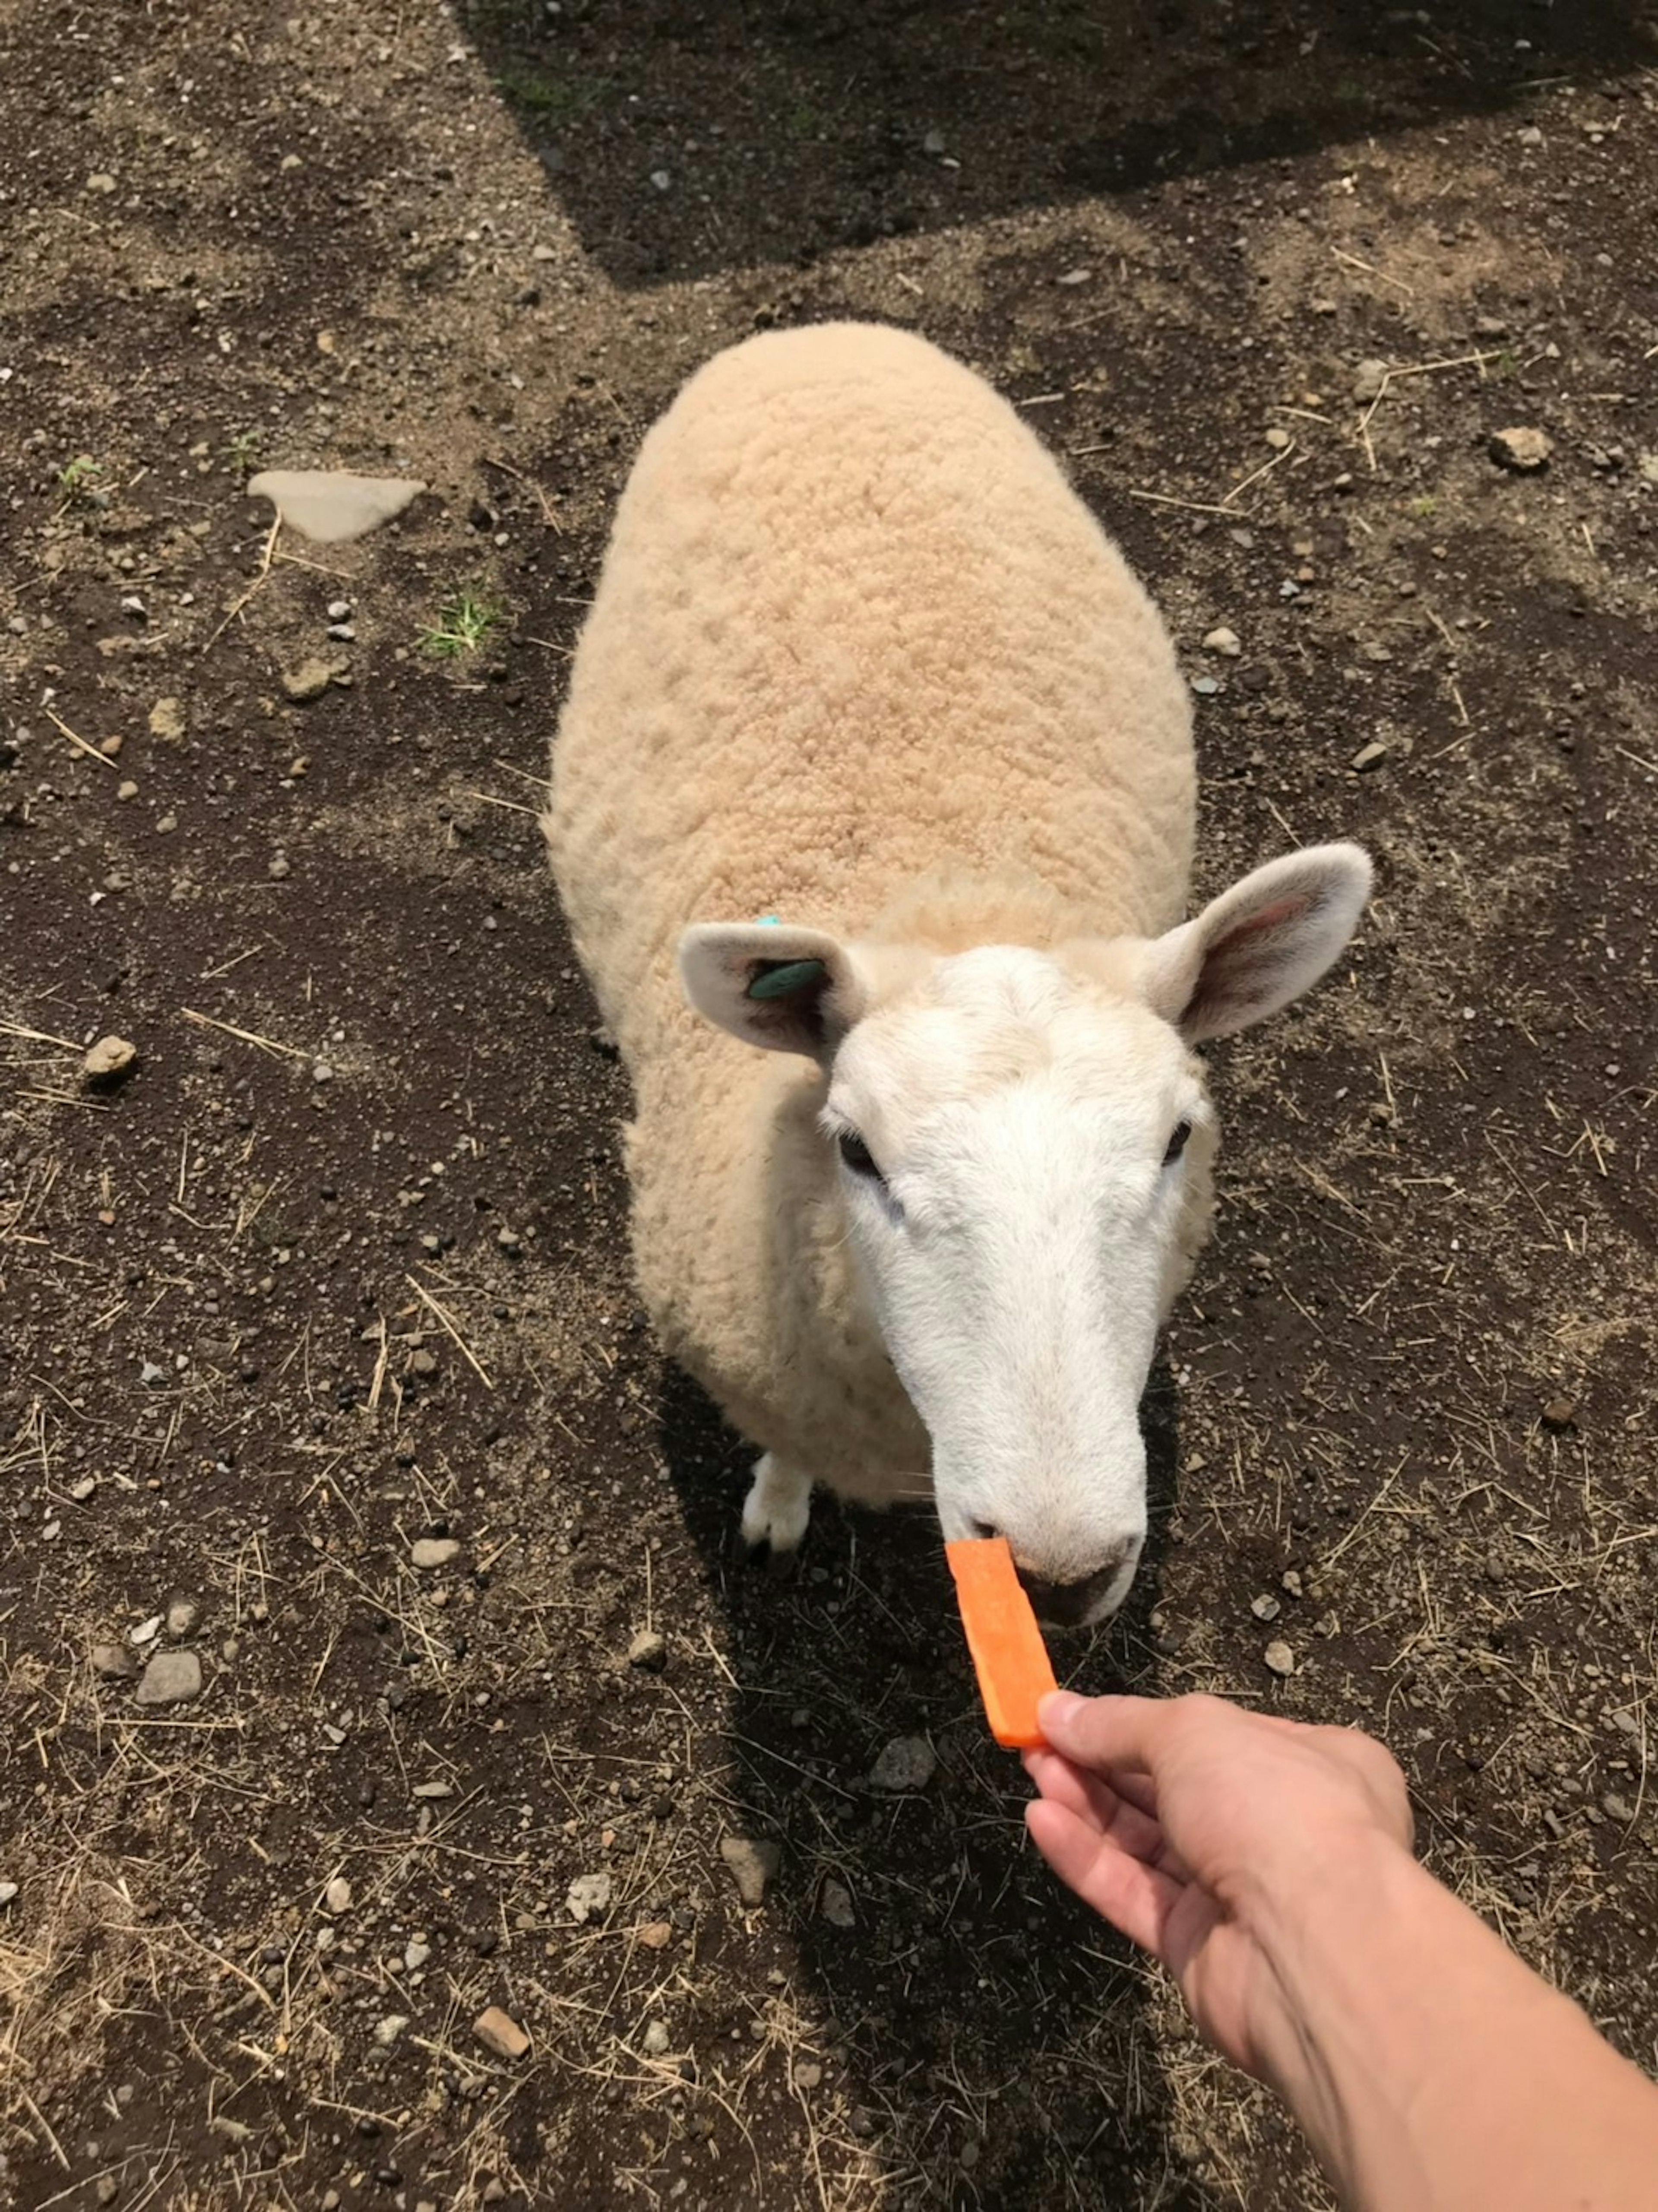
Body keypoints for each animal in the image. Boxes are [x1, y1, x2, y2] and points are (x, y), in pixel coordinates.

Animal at [548, 320, 1379, 1628]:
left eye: (1177, 1139)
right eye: (853, 1150)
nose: (1055, 1574)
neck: (954, 889)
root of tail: (820, 333)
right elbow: (783, 1453)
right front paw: (776, 1505)